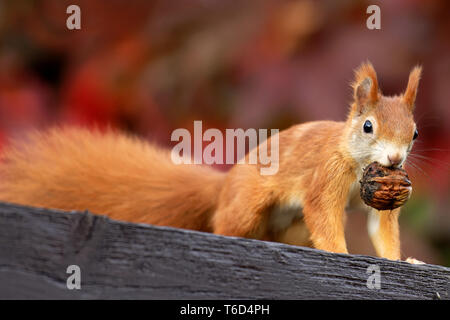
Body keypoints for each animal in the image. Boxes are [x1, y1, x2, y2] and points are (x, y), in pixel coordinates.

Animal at [0, 62, 422, 262]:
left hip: (290, 228)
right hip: (247, 207)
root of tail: (225, 186)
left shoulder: (382, 195)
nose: (395, 157)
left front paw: (405, 261)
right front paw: (338, 253)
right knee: (226, 224)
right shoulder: (325, 177)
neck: (355, 161)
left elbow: (381, 228)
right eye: (368, 126)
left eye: (414, 133)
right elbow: (323, 213)